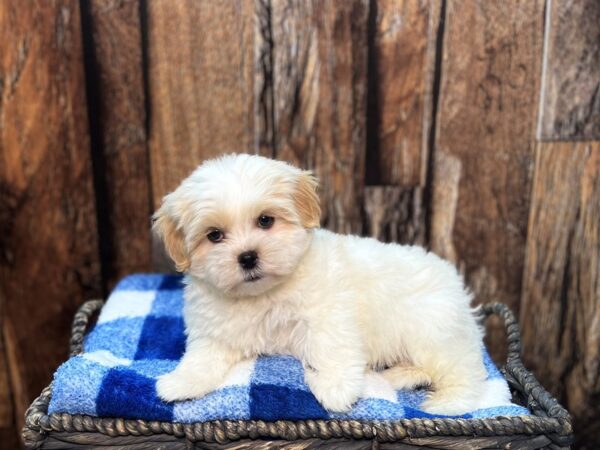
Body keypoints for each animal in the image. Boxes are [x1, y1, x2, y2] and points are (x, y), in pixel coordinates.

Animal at [154, 153, 488, 414]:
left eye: (265, 220)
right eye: (214, 235)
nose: (247, 257)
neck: (263, 294)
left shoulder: (329, 316)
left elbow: (331, 348)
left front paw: (336, 389)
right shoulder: (215, 331)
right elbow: (201, 357)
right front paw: (180, 382)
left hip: (430, 331)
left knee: (465, 372)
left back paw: (447, 399)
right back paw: (399, 375)